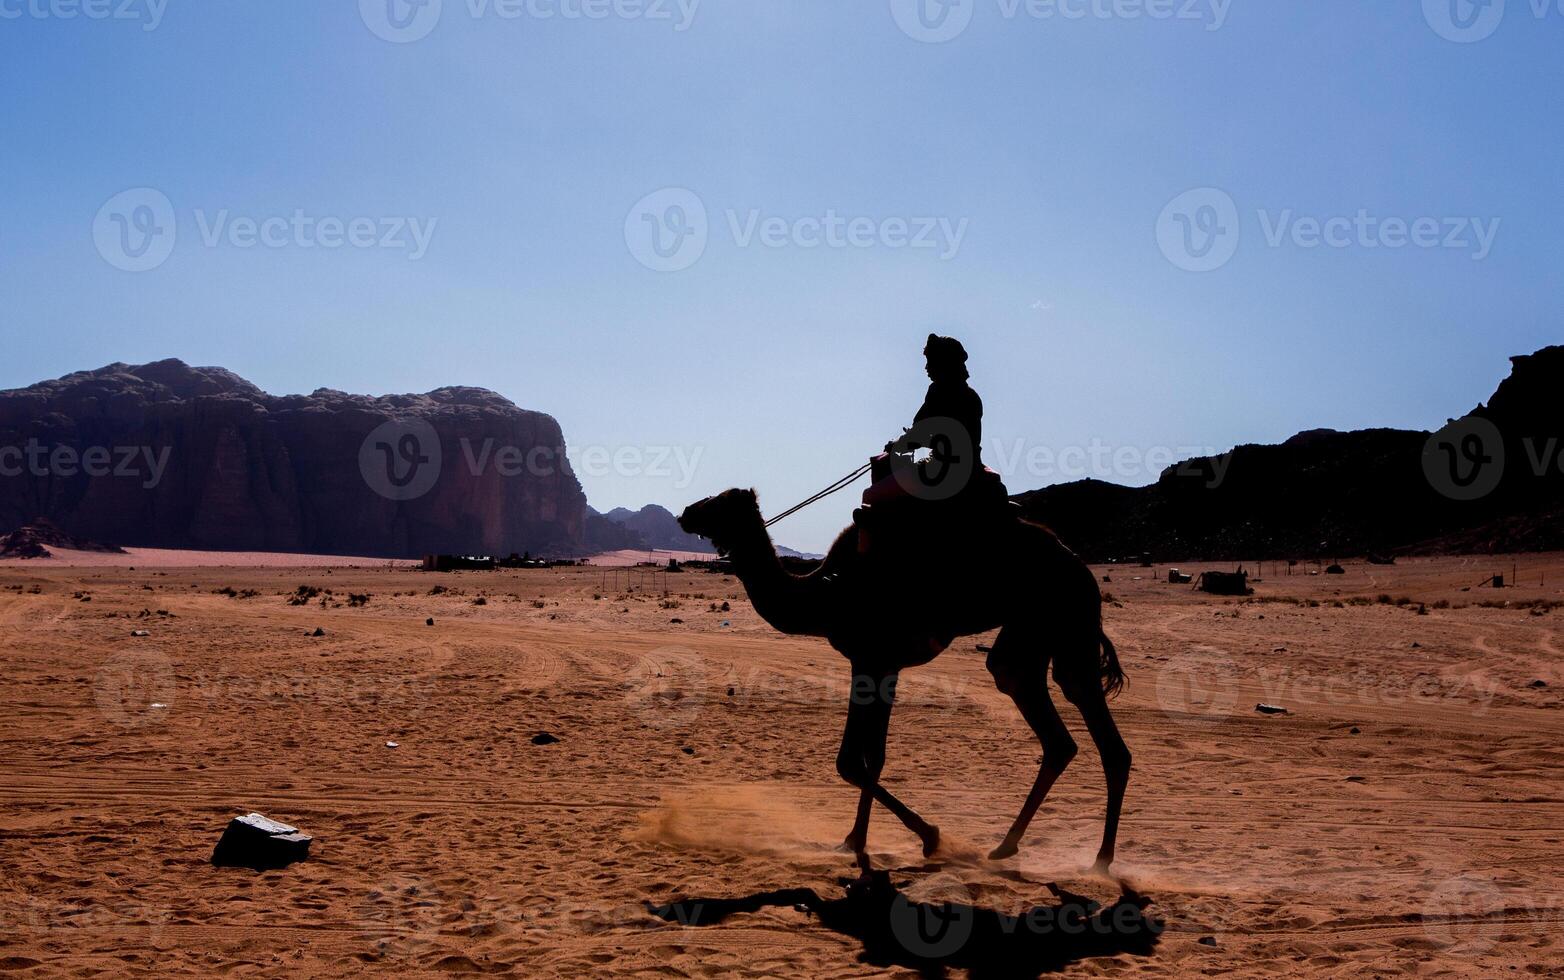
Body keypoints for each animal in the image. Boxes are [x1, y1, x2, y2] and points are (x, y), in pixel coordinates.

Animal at [678, 487, 1132, 875]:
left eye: (718, 501)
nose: (685, 512)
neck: (826, 594)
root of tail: (1080, 566)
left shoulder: (873, 658)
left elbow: (851, 760)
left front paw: (928, 836)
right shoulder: (877, 664)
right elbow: (870, 757)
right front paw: (855, 839)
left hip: (1059, 614)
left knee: (1067, 710)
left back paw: (1095, 860)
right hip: (1043, 631)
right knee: (1062, 726)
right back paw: (1017, 847)